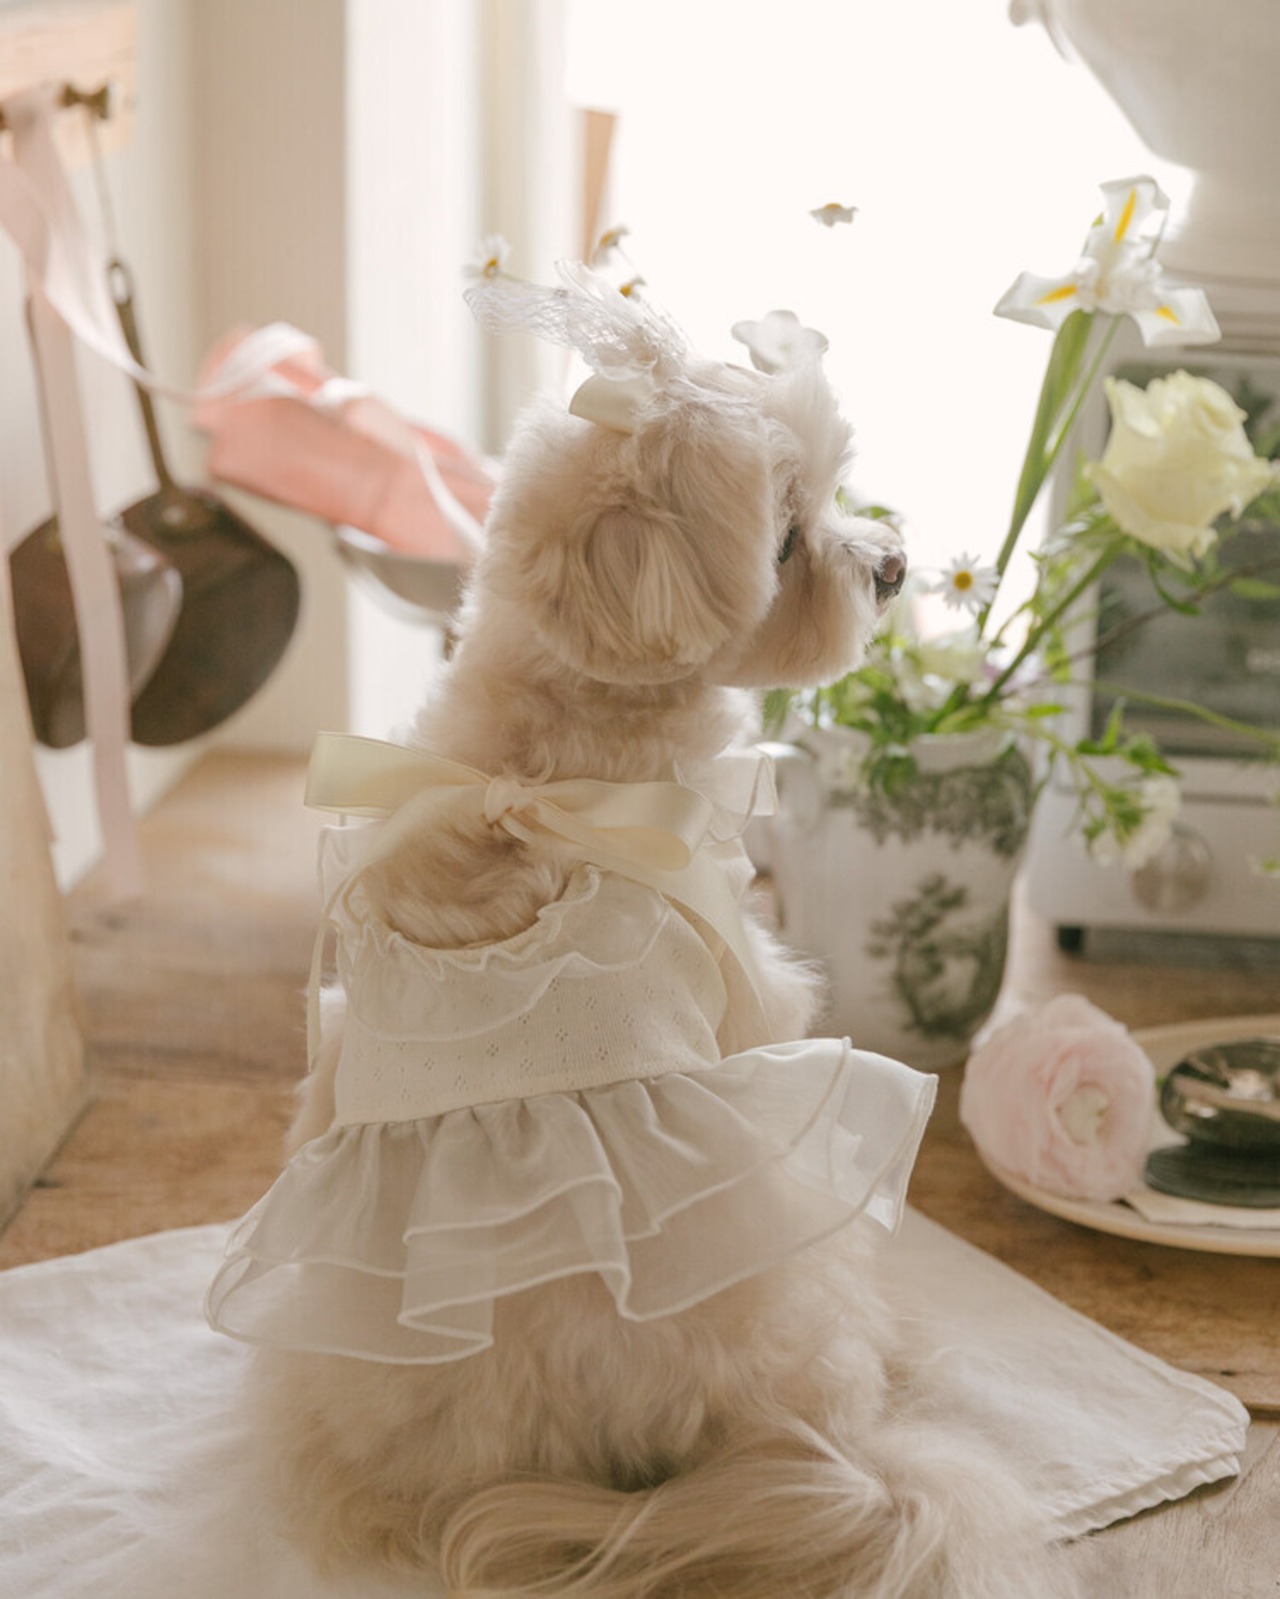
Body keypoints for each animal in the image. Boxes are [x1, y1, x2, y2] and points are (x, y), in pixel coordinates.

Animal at [208, 272, 1076, 1598]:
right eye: (784, 540)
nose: (888, 564)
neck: (545, 755)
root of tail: (584, 1458)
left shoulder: (335, 1050)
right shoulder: (747, 980)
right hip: (801, 1280)